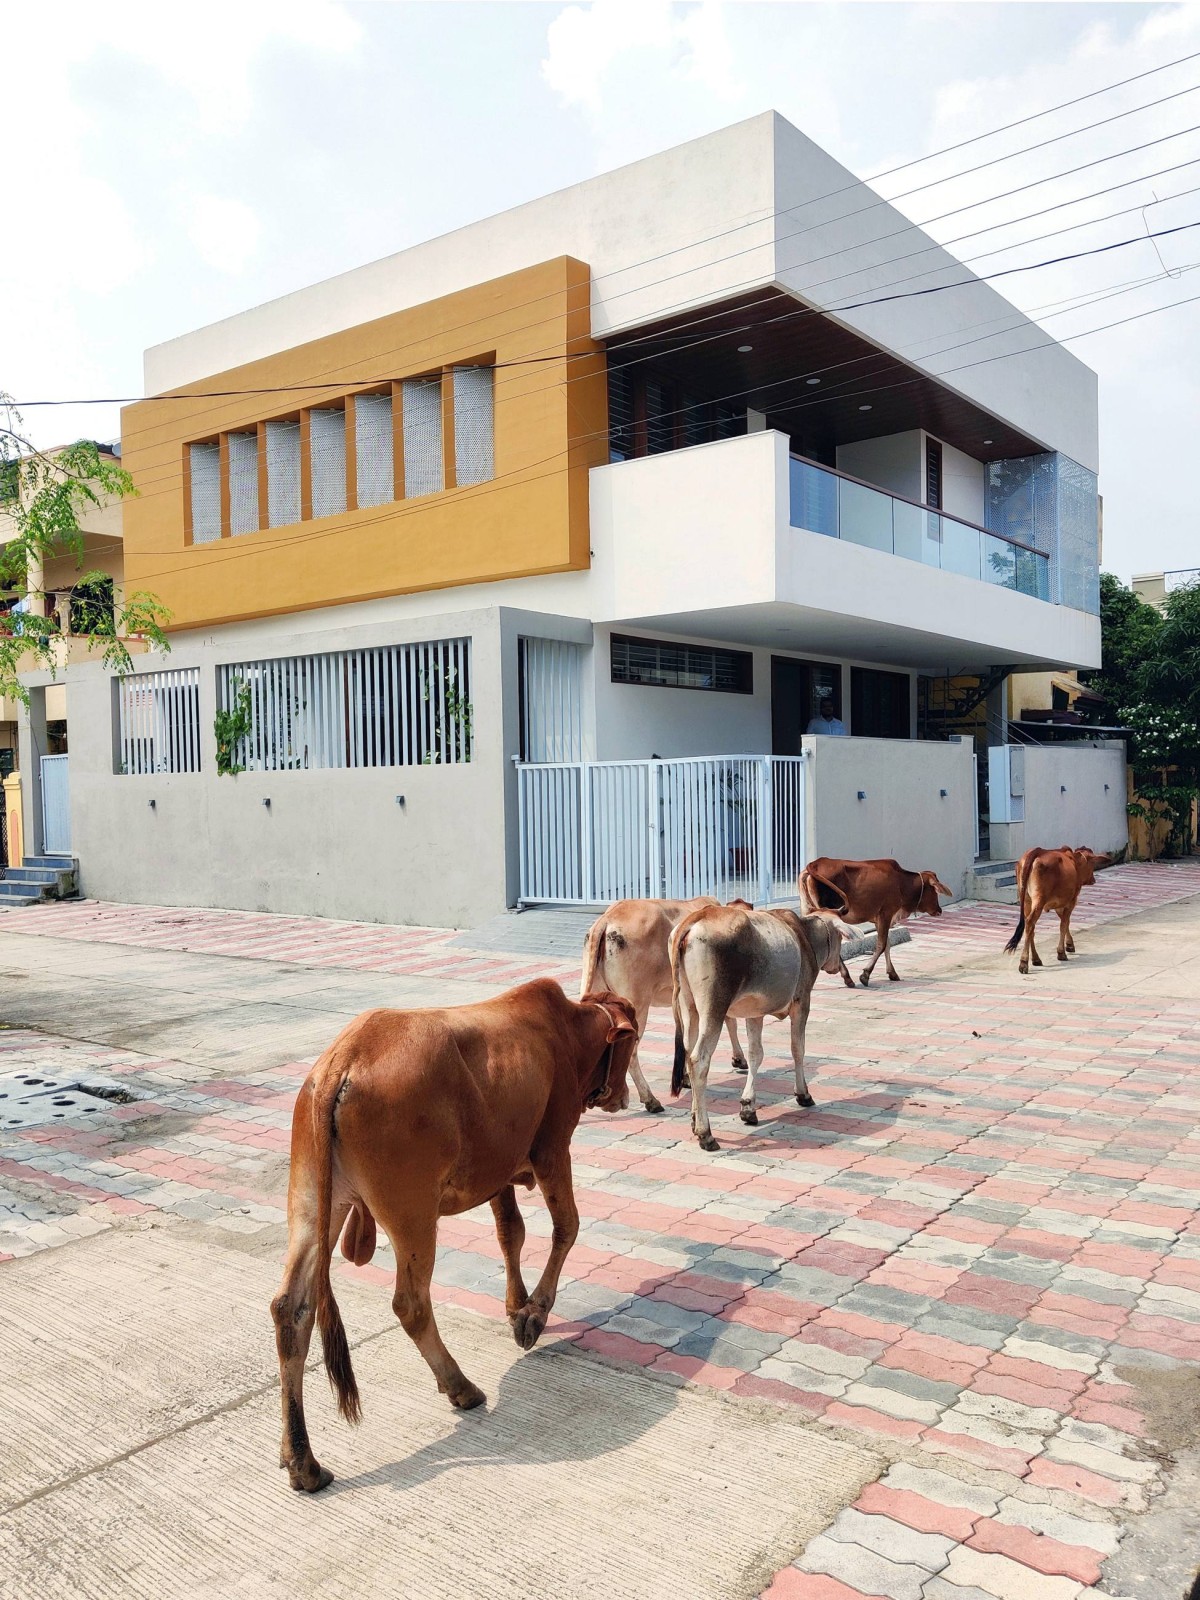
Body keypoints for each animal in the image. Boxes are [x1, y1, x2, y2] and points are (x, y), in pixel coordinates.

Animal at [272, 979, 640, 1491]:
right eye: (636, 1038)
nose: (622, 1097)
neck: (566, 1031)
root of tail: (342, 1060)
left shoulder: (499, 1171)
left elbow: (510, 1233)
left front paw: (516, 1306)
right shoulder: (551, 1149)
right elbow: (566, 1226)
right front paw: (534, 1314)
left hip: (313, 1205)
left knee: (292, 1309)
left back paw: (302, 1461)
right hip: (413, 1215)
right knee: (410, 1303)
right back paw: (460, 1386)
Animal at [582, 902, 752, 1113]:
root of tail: (606, 919)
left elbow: (686, 1038)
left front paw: (685, 1078)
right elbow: (730, 1022)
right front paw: (739, 1059)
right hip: (637, 1004)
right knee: (631, 1051)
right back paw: (650, 1099)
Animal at [672, 902, 851, 1152]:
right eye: (838, 937)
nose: (837, 966)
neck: (804, 935)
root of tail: (696, 918)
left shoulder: (754, 1013)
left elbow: (755, 1053)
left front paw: (748, 1107)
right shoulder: (801, 1002)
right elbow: (798, 1049)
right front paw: (803, 1094)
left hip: (689, 1007)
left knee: (688, 1054)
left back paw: (694, 1118)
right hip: (713, 1008)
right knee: (699, 1060)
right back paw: (705, 1133)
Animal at [803, 857, 953, 979]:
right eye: (935, 891)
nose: (939, 910)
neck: (902, 883)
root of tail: (814, 864)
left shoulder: (880, 919)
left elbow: (887, 944)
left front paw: (892, 973)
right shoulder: (885, 914)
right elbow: (881, 944)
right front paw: (865, 974)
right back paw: (847, 976)